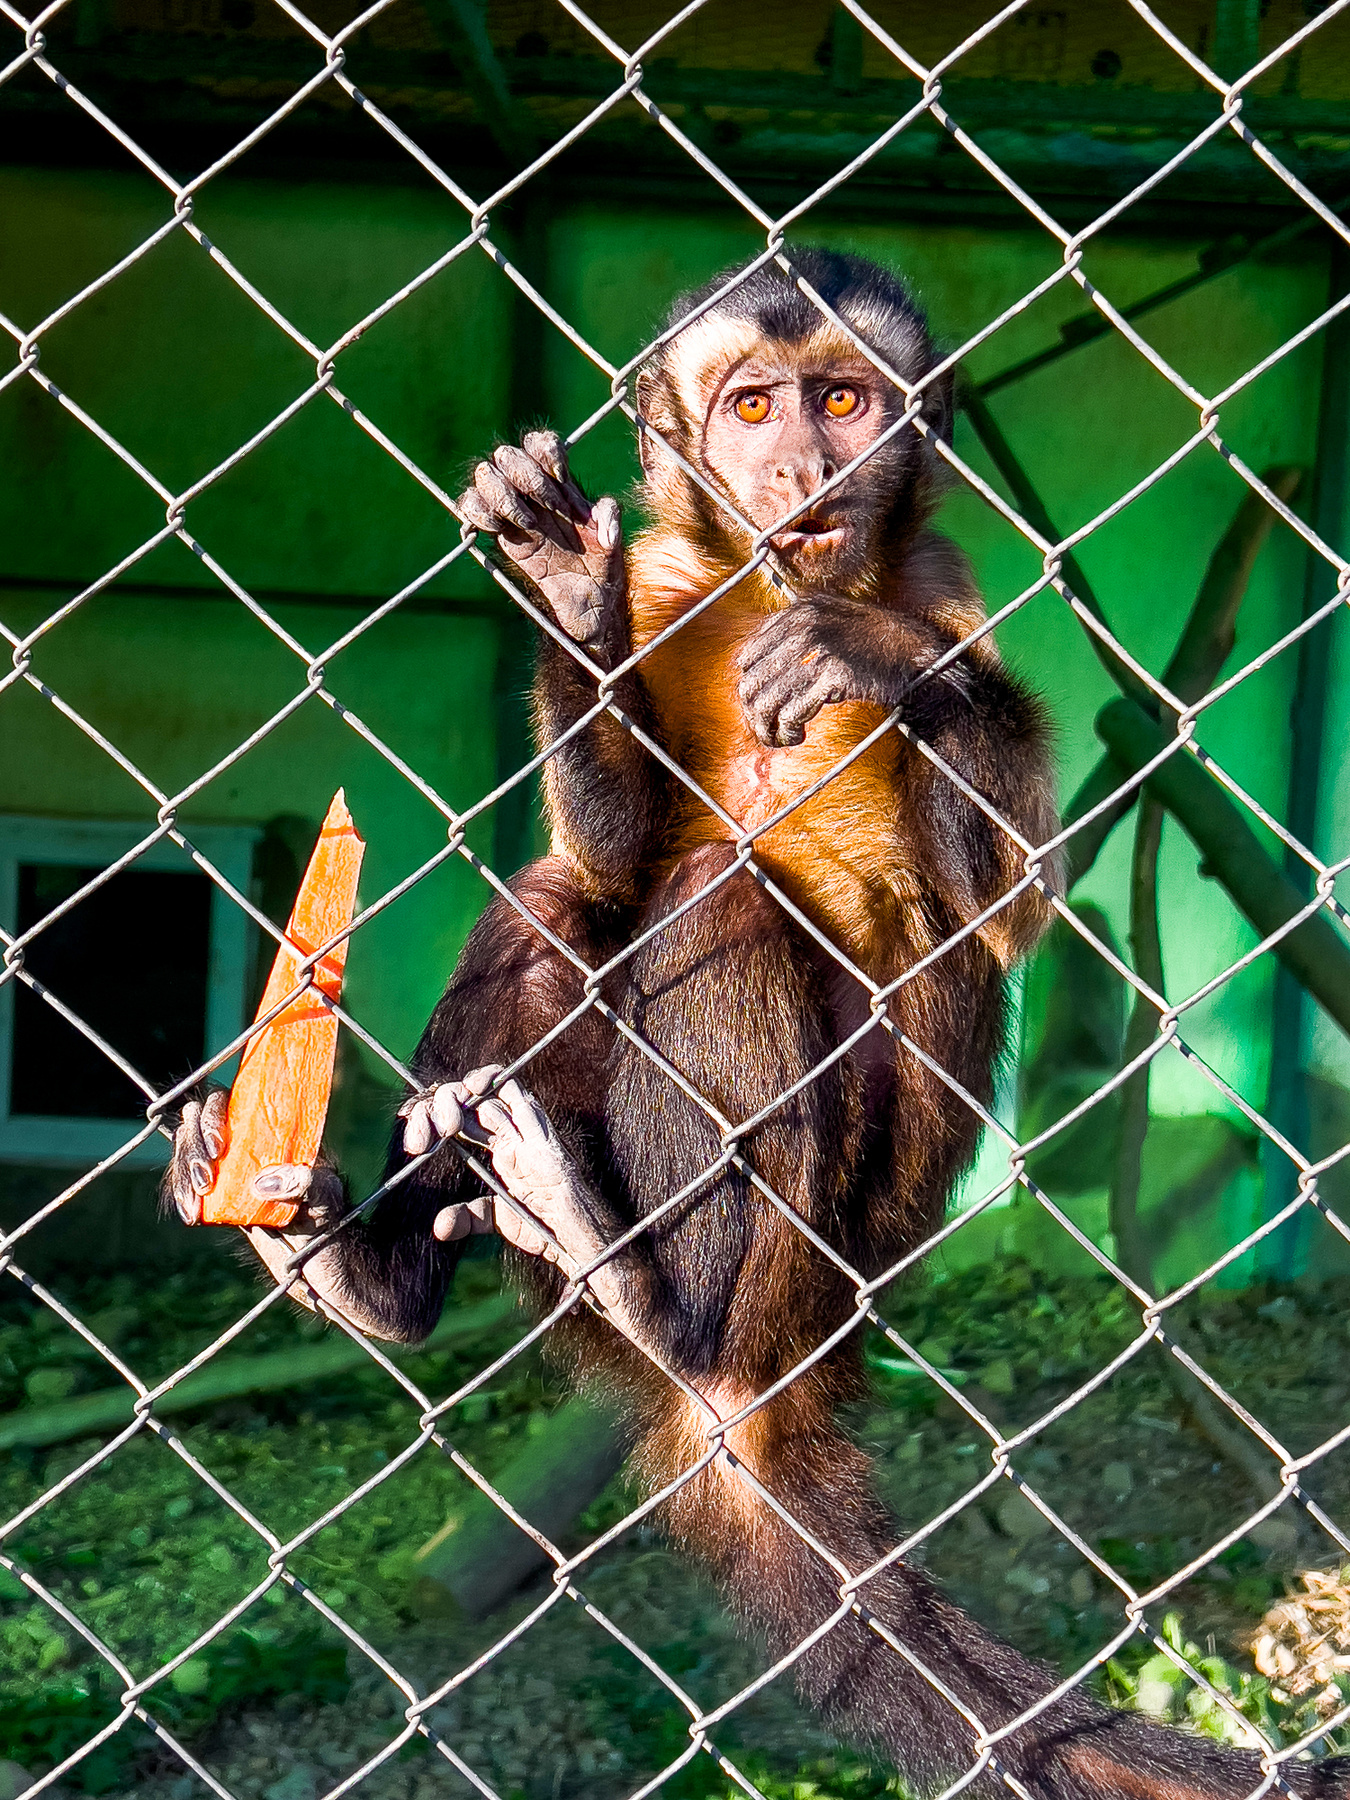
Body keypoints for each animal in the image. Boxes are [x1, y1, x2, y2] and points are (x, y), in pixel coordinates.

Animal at [166, 251, 1350, 1798]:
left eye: (842, 400)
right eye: (749, 407)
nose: (800, 464)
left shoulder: (947, 586)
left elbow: (1003, 905)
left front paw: (883, 665)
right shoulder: (674, 573)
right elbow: (606, 857)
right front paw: (570, 597)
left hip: (842, 1224)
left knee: (743, 911)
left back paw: (651, 1295)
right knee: (578, 901)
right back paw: (372, 1276)